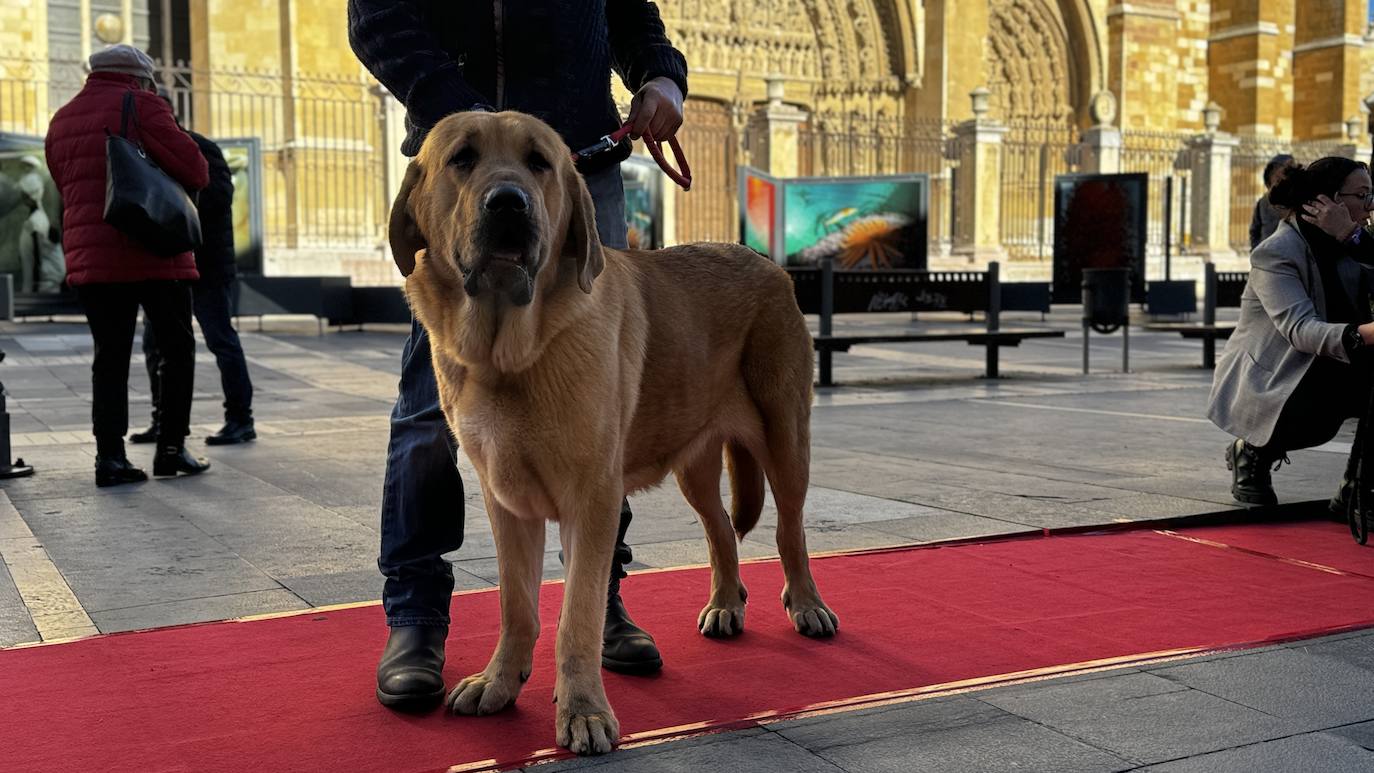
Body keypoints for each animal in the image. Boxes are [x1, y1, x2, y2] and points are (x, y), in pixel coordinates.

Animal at [387, 110, 835, 757]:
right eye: (462, 158)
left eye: (539, 162)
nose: (509, 203)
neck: (510, 354)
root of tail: (767, 262)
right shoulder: (505, 501)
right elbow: (517, 605)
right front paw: (500, 682)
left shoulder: (591, 498)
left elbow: (578, 615)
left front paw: (582, 711)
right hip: (695, 464)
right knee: (721, 529)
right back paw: (726, 604)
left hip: (785, 438)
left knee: (789, 530)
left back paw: (807, 605)